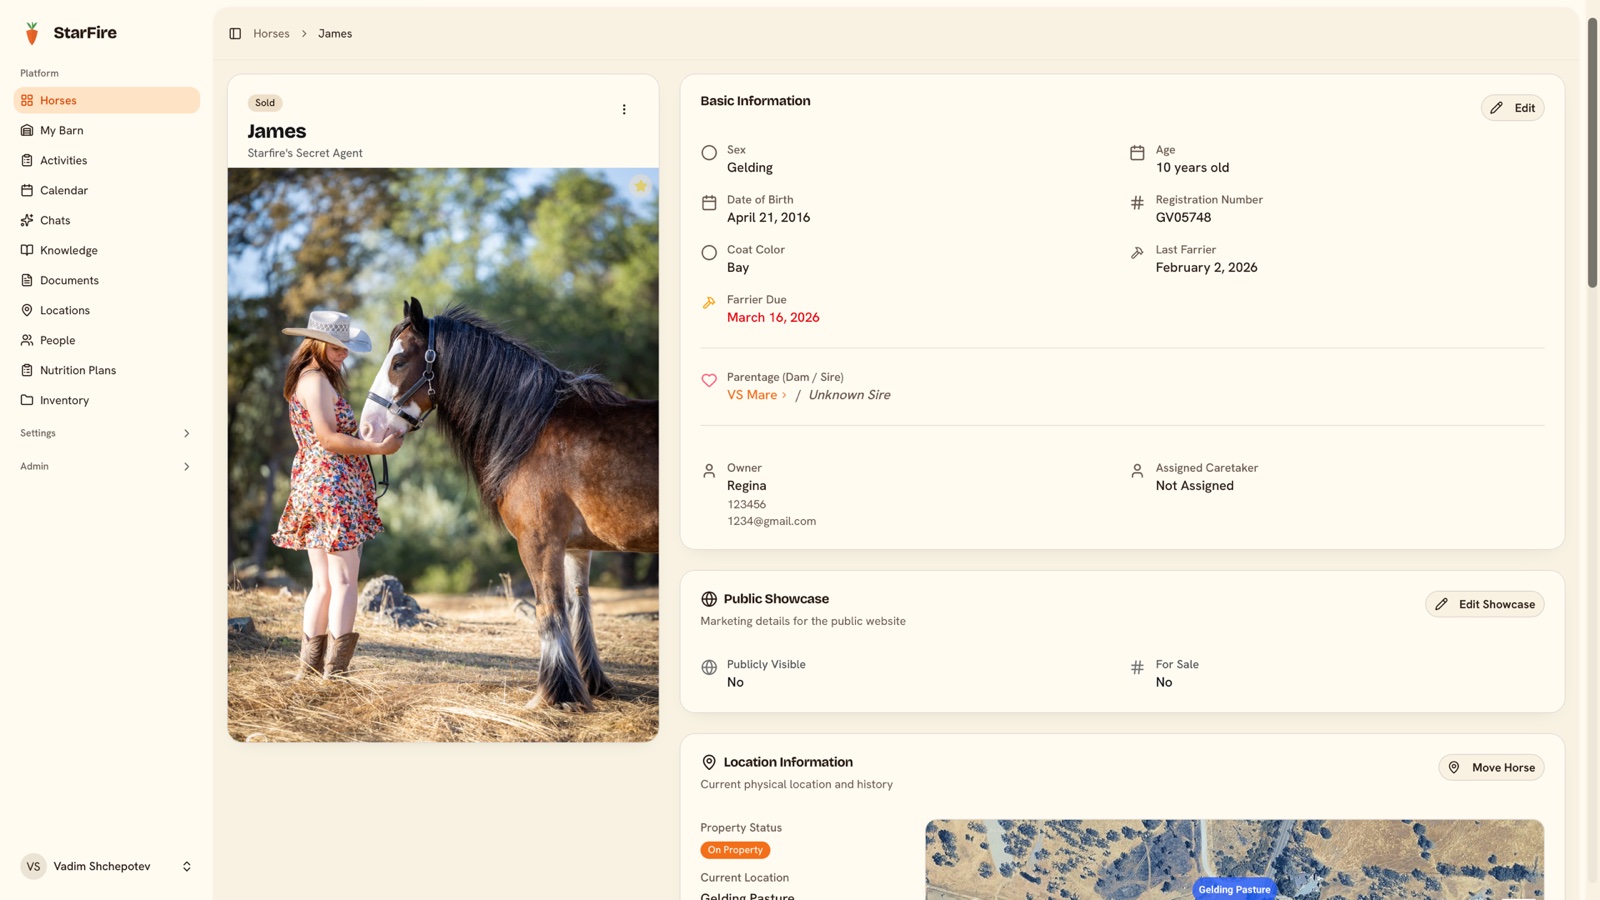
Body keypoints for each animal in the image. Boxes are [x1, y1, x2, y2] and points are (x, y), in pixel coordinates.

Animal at [358, 297, 658, 711]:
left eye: (399, 362)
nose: (368, 429)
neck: (534, 429)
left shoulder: (540, 542)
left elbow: (550, 611)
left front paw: (557, 693)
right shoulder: (576, 548)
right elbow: (580, 609)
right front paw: (591, 684)